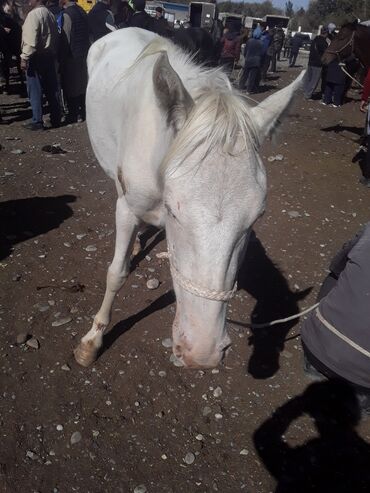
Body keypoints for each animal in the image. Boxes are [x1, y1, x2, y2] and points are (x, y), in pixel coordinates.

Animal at [74, 26, 304, 366]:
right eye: (173, 210)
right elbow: (116, 274)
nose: (202, 353)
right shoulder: (128, 208)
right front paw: (93, 340)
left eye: (257, 217)